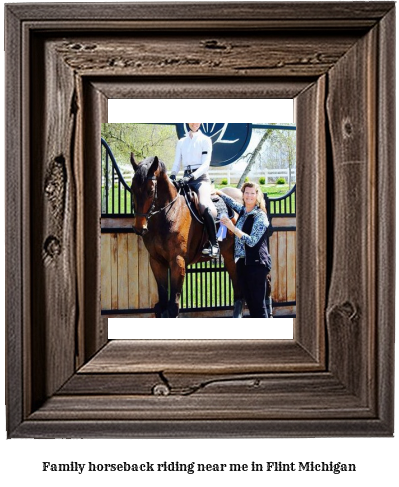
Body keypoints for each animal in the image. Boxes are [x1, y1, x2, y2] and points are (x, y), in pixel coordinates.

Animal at [130, 154, 245, 318]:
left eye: (151, 191)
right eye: (132, 188)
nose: (140, 228)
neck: (169, 213)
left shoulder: (178, 261)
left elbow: (173, 307)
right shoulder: (156, 261)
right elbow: (162, 305)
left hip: (233, 254)